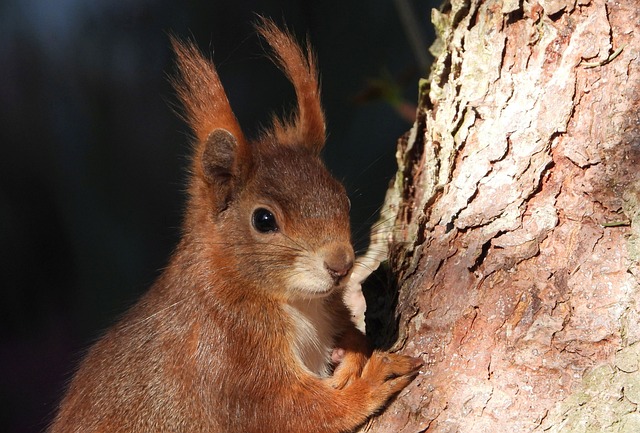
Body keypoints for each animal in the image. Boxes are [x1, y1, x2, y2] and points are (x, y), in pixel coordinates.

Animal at [48, 18, 420, 430]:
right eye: (263, 219)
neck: (296, 302)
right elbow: (295, 411)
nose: (340, 265)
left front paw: (353, 349)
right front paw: (372, 381)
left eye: (344, 198)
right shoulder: (230, 362)